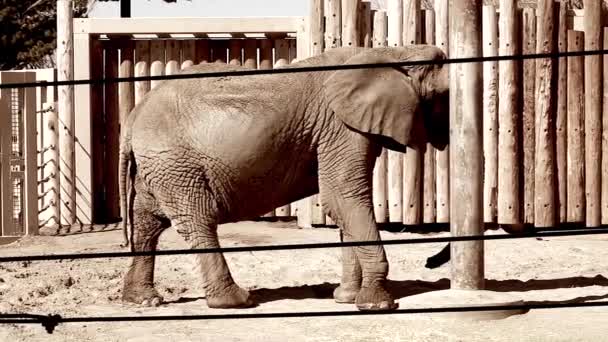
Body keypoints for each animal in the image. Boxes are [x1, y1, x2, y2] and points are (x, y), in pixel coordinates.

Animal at [119, 45, 448, 312]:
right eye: (445, 97)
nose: (429, 263)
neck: (392, 51)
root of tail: (134, 115)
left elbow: (345, 204)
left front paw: (345, 298)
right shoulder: (341, 128)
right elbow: (343, 197)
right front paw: (376, 304)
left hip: (160, 164)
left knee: (148, 221)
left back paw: (143, 300)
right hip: (174, 162)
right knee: (197, 219)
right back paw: (236, 301)